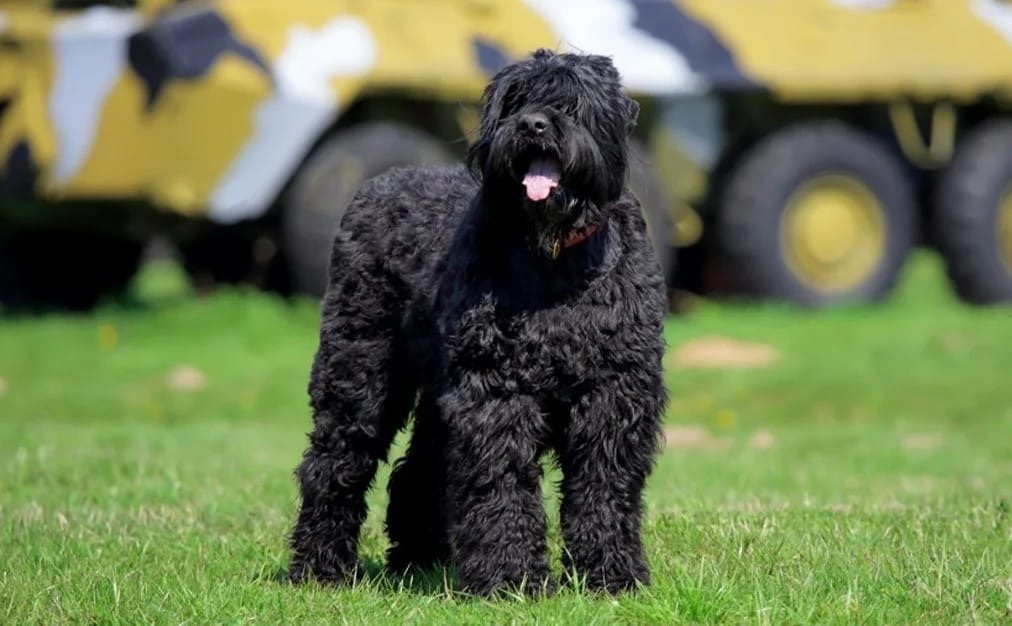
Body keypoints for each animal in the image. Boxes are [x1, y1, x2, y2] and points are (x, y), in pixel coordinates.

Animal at [289, 49, 667, 598]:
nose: (532, 124)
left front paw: (611, 575)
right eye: (513, 99)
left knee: (418, 469)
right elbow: (501, 482)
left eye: (572, 101)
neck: (555, 258)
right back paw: (320, 567)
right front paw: (512, 579)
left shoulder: (613, 394)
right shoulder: (496, 392)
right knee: (335, 464)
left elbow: (604, 485)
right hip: (361, 373)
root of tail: (372, 187)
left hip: (434, 391)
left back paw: (419, 560)